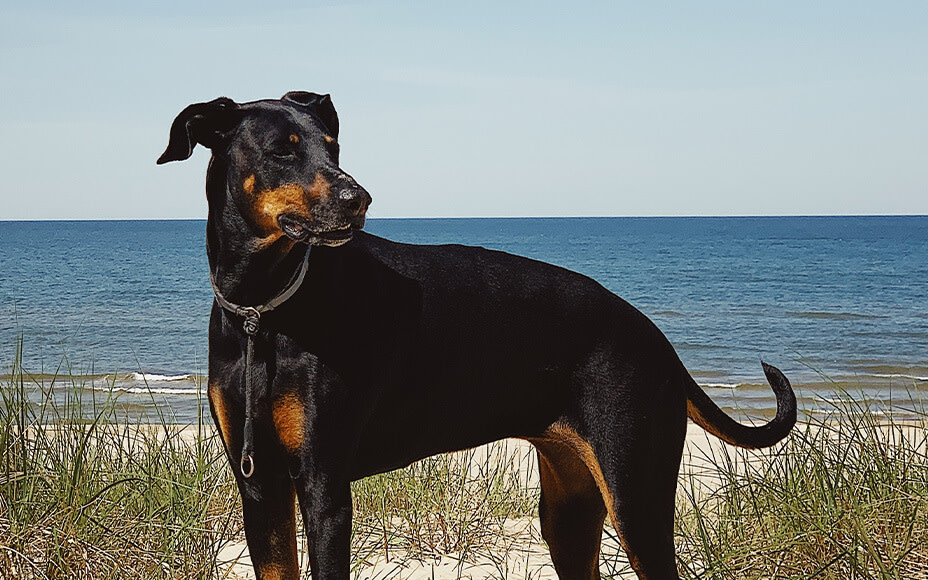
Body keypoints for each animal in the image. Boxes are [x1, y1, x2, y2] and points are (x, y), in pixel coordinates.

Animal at [160, 93, 796, 576]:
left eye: (333, 146)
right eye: (282, 150)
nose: (358, 198)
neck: (264, 310)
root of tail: (654, 336)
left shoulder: (323, 486)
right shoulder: (262, 487)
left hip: (634, 492)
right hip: (569, 508)